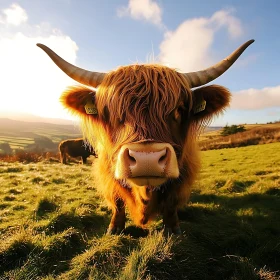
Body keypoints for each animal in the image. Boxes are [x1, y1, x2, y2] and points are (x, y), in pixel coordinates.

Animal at [37, 38, 254, 234]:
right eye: (110, 112)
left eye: (179, 109)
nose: (146, 159)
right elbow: (117, 200)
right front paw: (114, 228)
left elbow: (171, 202)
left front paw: (172, 229)